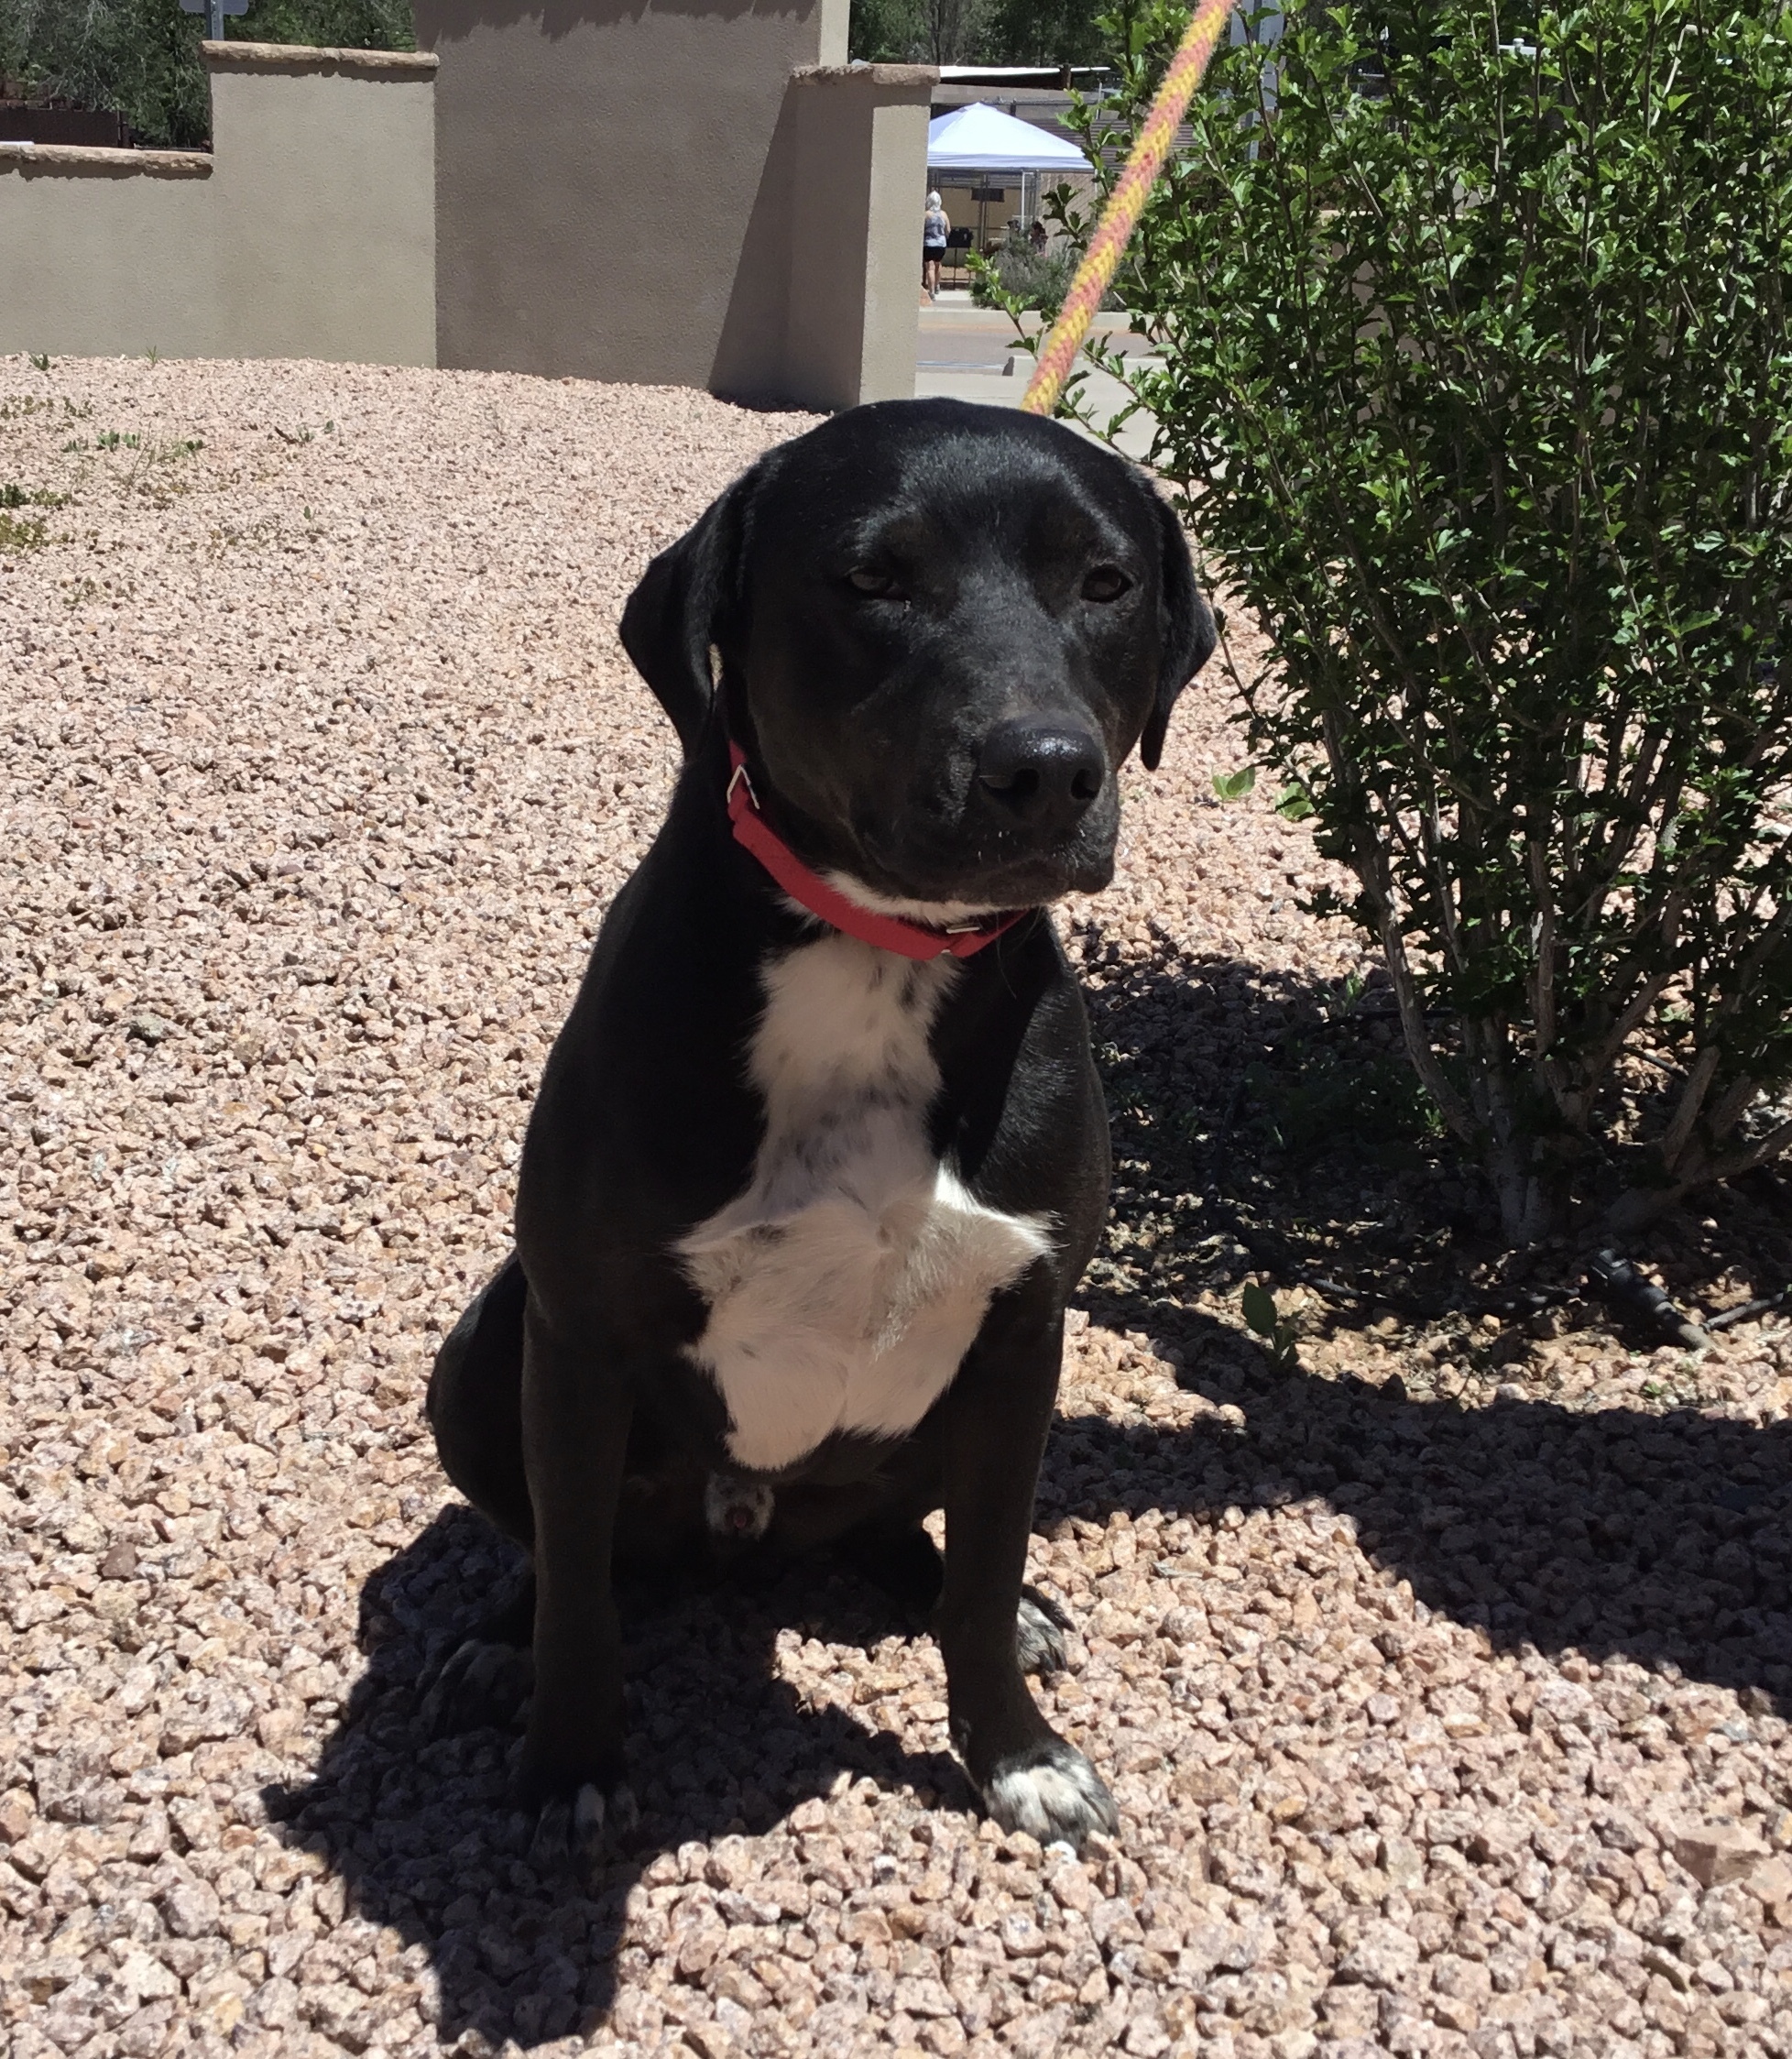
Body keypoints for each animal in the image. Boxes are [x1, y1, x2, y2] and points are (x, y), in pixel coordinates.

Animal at [426, 393, 1210, 1861]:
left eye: (1106, 582)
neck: (877, 954)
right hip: (486, 1351)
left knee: (911, 1539)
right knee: (559, 1548)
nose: (1045, 770)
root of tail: (745, 1531)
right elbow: (580, 1594)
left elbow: (987, 1568)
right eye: (872, 578)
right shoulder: (581, 1337)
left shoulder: (1025, 1330)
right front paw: (569, 1757)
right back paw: (500, 1640)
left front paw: (1012, 1748)